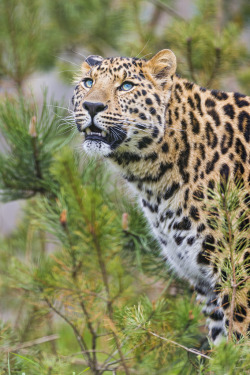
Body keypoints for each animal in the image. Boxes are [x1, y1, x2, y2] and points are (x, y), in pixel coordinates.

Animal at [71, 50, 249, 346]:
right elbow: (223, 346)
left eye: (126, 86)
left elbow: (240, 339)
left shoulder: (239, 274)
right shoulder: (204, 281)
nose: (92, 106)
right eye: (88, 82)